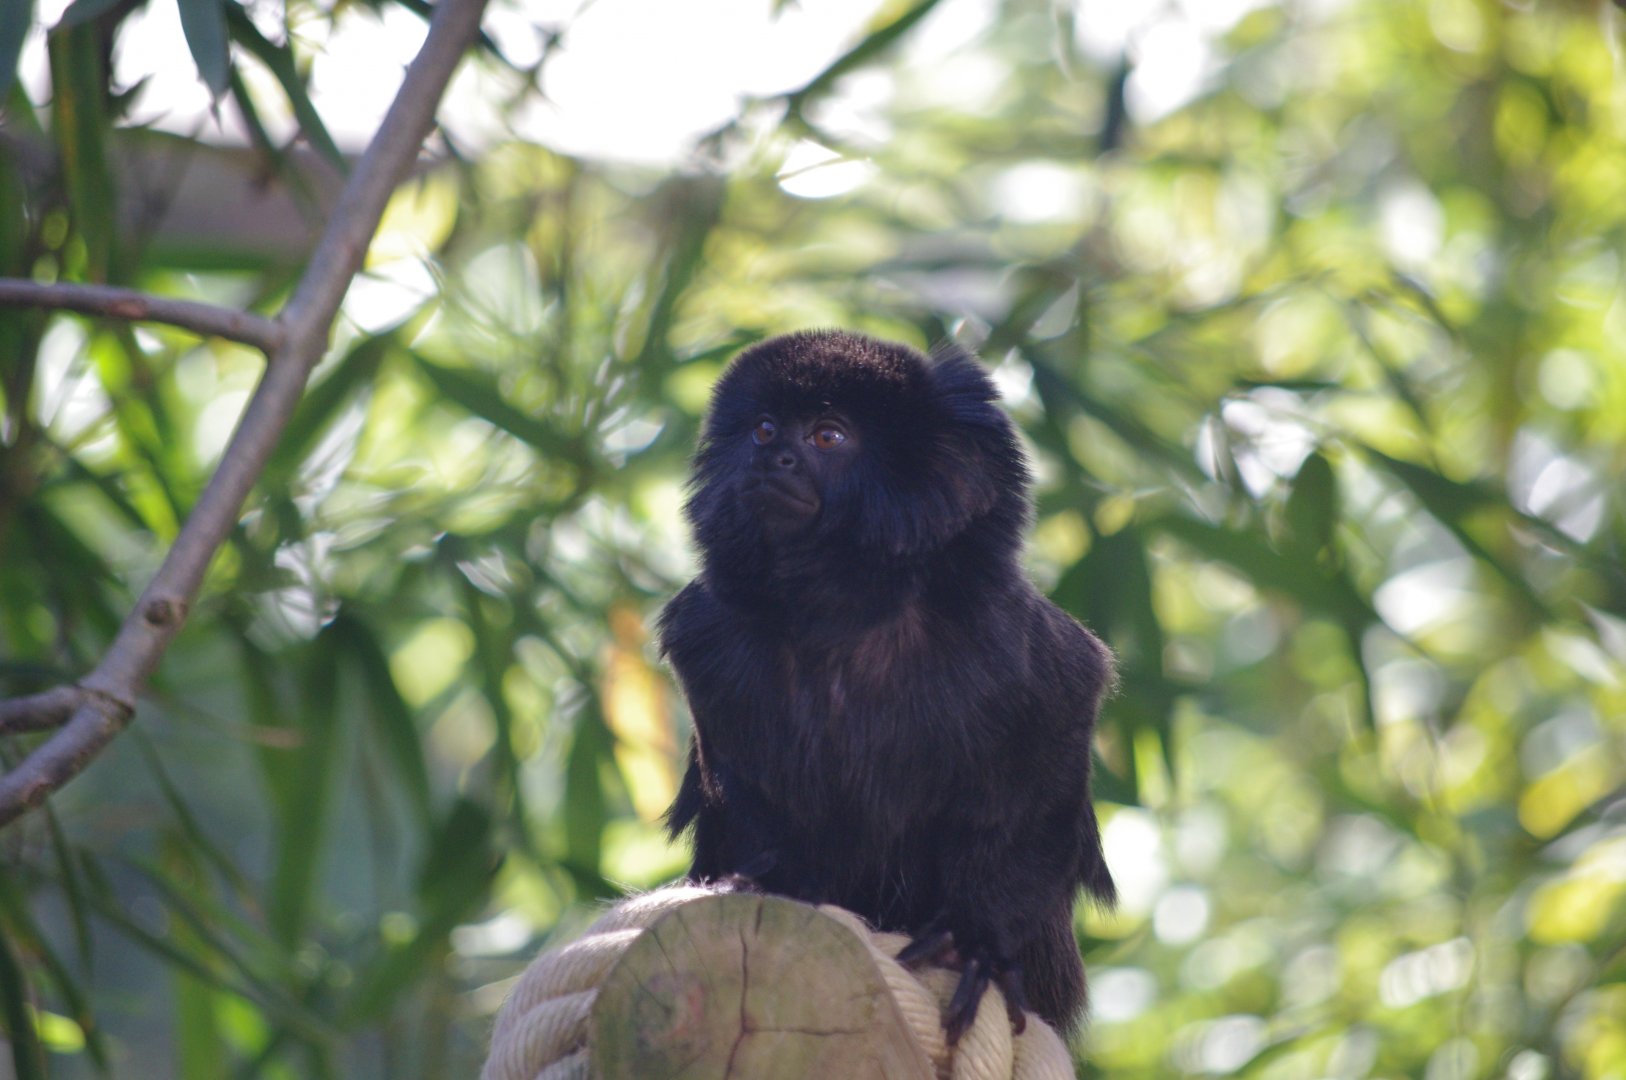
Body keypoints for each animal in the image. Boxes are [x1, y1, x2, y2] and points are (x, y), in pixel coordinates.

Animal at [658, 329, 1116, 1042]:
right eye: (764, 430)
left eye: (827, 437)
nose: (774, 460)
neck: (846, 620)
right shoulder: (707, 638)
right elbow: (745, 796)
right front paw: (779, 877)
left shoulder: (1017, 646)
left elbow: (1039, 795)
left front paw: (976, 941)